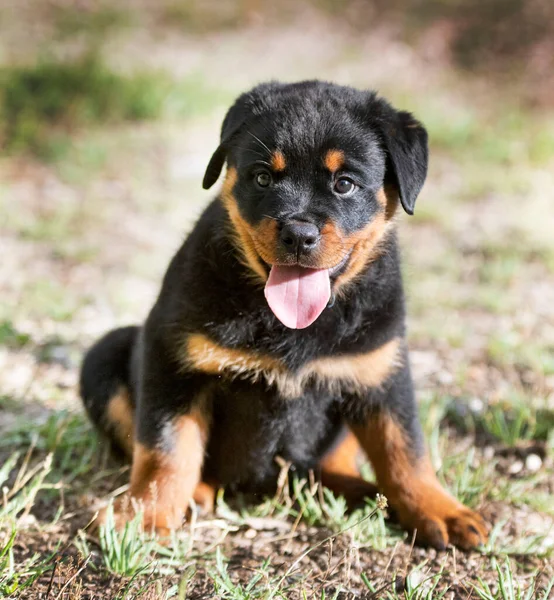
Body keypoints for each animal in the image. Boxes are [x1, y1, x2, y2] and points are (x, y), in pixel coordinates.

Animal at [78, 82, 488, 552]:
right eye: (262, 178)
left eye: (344, 184)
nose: (298, 233)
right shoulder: (173, 357)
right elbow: (166, 447)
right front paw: (146, 515)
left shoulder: (381, 368)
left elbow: (404, 448)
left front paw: (440, 509)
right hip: (104, 352)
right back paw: (198, 494)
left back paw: (356, 490)